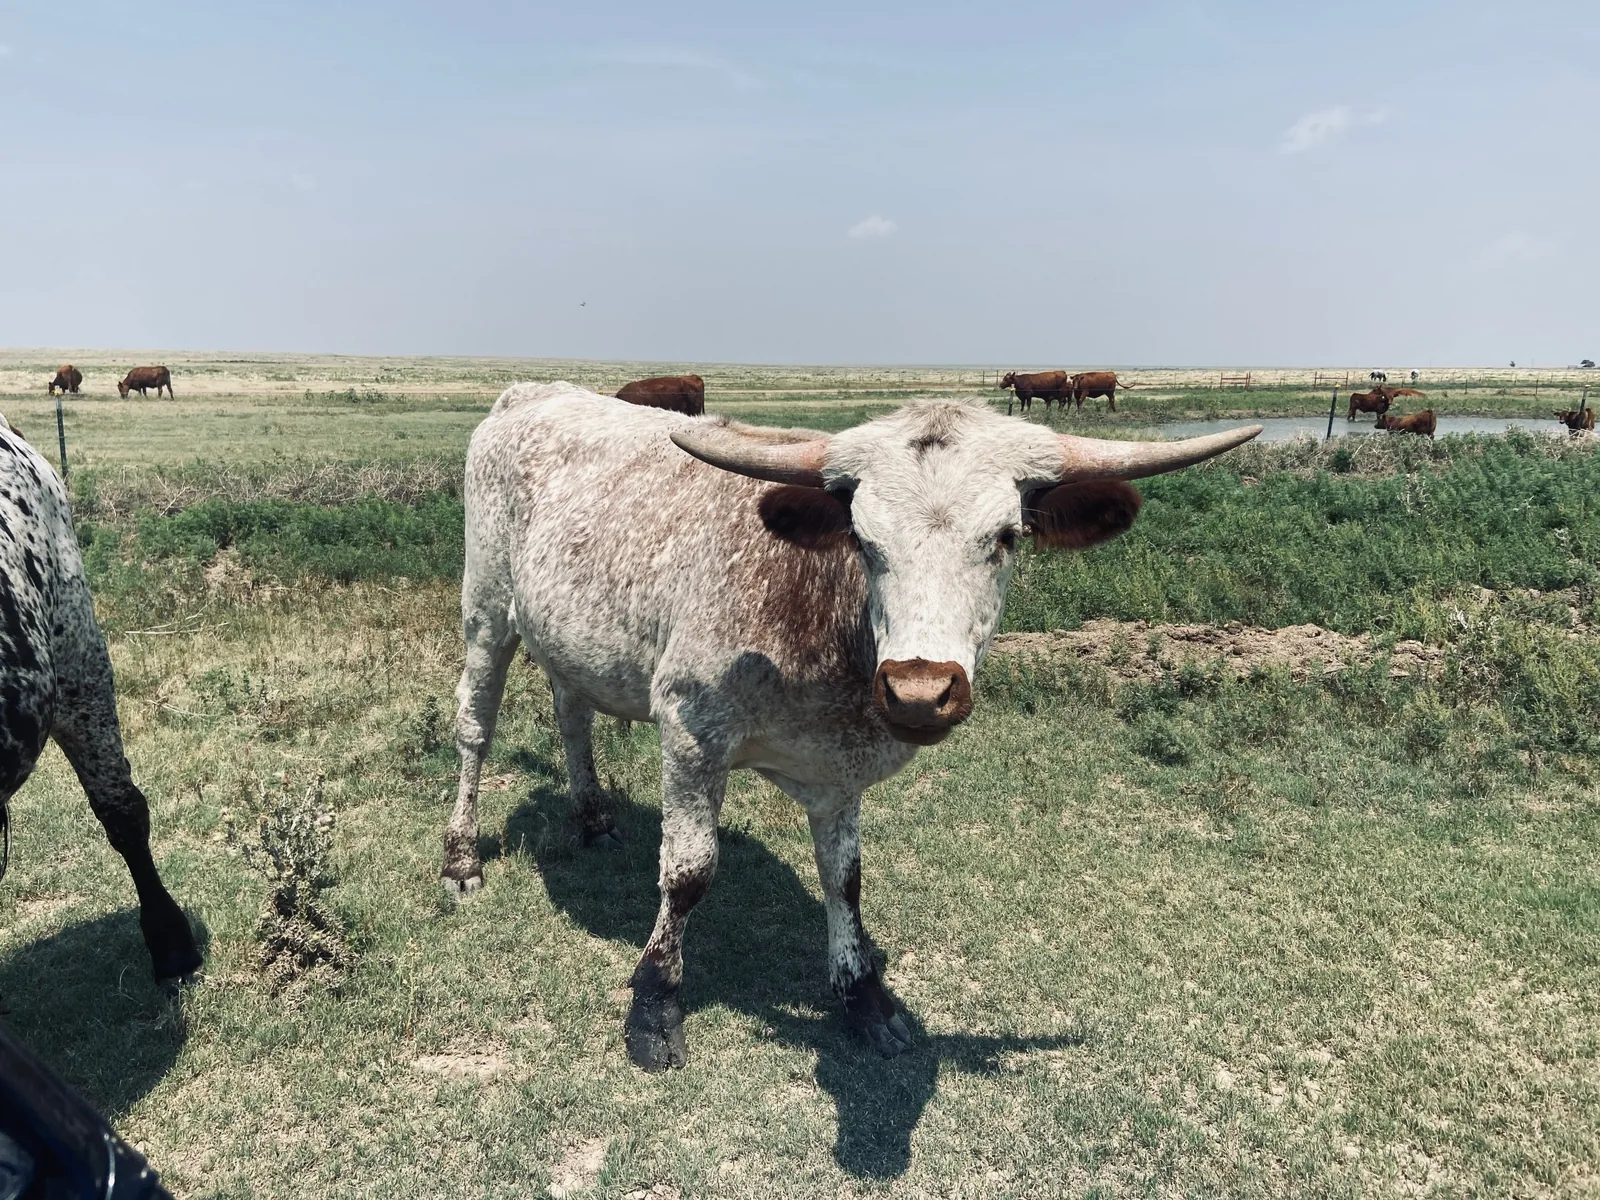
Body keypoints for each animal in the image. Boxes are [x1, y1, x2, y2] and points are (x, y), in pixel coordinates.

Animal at [440, 382, 1260, 1071]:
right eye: (864, 540)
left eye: (1006, 537)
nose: (920, 691)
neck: (817, 611)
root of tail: (530, 392)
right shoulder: (690, 731)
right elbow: (688, 874)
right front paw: (655, 1005)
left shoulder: (842, 770)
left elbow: (846, 879)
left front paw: (863, 997)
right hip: (487, 609)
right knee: (475, 725)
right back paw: (461, 856)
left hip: (570, 638)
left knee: (571, 713)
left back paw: (593, 816)